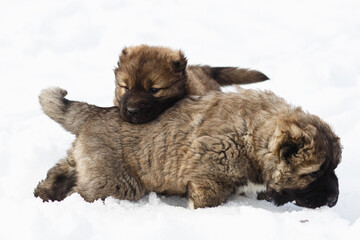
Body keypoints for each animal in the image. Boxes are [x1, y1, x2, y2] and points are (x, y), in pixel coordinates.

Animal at [33, 87, 340, 208]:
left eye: (334, 168)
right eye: (314, 173)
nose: (334, 200)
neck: (254, 137)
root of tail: (96, 113)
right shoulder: (209, 175)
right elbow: (210, 200)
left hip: (84, 161)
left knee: (60, 172)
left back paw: (43, 193)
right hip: (114, 182)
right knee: (80, 192)